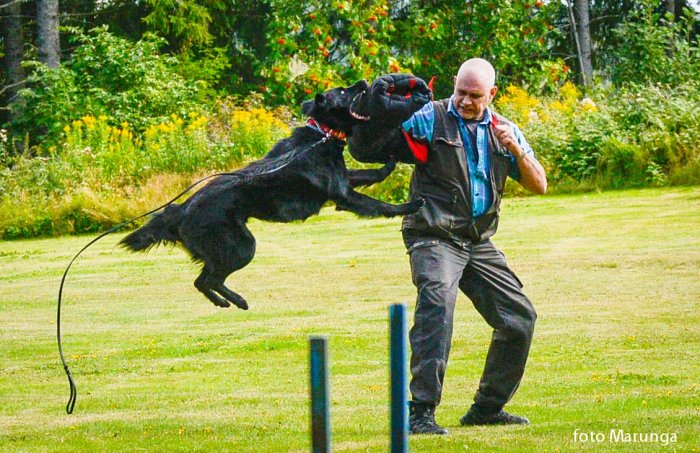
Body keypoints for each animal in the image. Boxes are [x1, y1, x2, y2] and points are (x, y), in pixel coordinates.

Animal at [119, 79, 426, 308]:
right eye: (342, 91)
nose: (363, 81)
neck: (321, 136)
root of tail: (181, 209)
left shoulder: (343, 179)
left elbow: (370, 175)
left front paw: (388, 164)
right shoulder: (344, 196)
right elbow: (380, 205)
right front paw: (410, 206)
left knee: (202, 280)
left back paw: (225, 302)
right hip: (243, 247)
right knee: (207, 280)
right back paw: (236, 301)